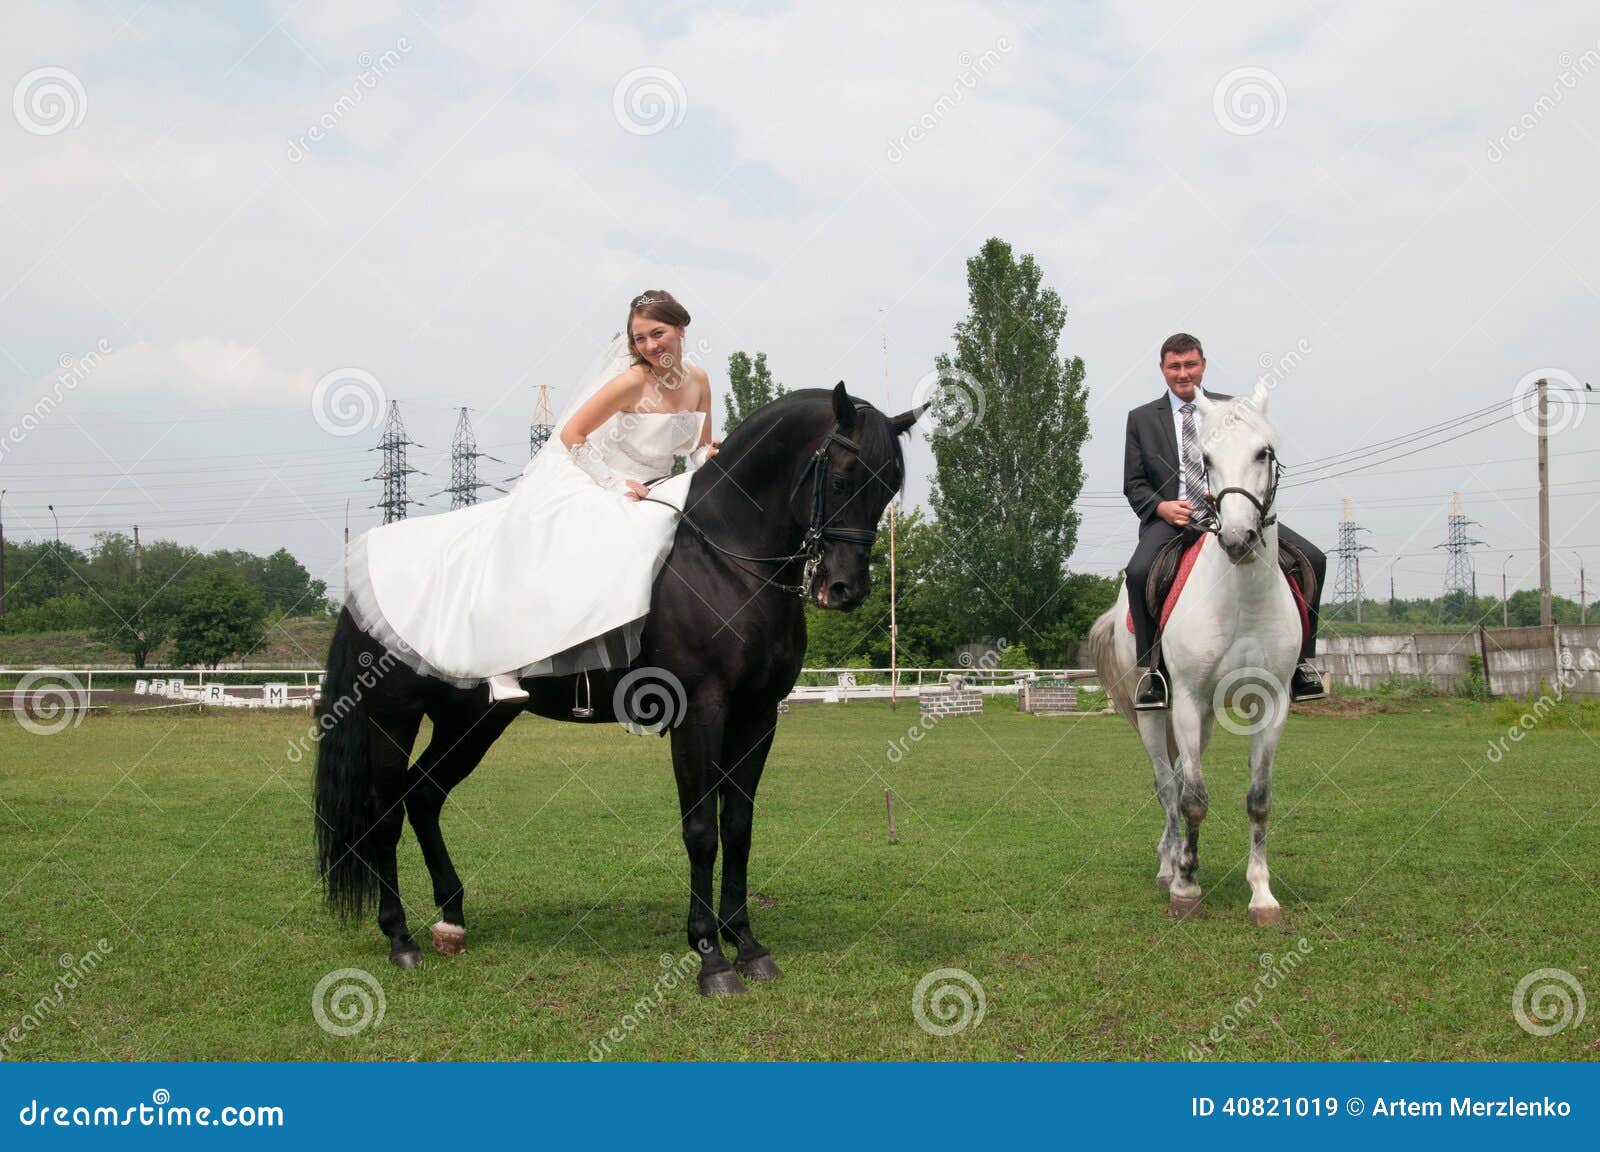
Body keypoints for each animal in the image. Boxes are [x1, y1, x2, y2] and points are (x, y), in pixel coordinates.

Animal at [312, 384, 919, 995]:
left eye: (889, 486)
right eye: (841, 477)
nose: (844, 590)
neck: (723, 560)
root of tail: (363, 580)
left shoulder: (758, 715)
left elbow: (739, 827)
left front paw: (747, 945)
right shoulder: (700, 712)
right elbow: (702, 829)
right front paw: (711, 957)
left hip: (472, 722)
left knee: (423, 796)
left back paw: (452, 921)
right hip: (394, 717)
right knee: (384, 812)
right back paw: (400, 938)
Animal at [1090, 380, 1299, 925]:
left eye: (1263, 452)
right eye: (1206, 458)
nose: (1238, 538)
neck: (1242, 595)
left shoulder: (1272, 703)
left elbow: (1259, 799)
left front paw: (1262, 894)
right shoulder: (1183, 699)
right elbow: (1193, 800)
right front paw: (1186, 887)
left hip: (1203, 719)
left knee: (1181, 773)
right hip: (1155, 710)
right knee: (1168, 785)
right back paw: (1169, 866)